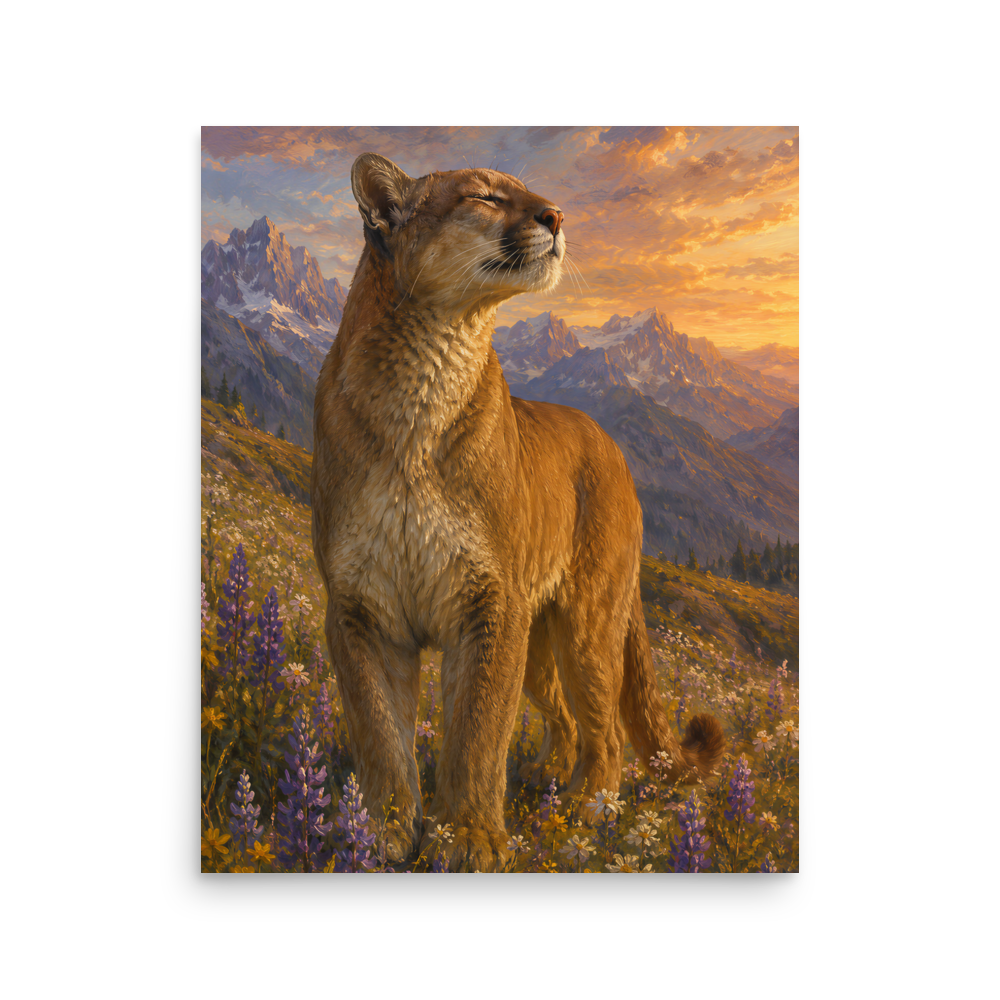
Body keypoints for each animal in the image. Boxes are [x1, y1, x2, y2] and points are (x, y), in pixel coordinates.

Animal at [311, 152, 726, 872]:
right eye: (482, 195)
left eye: (525, 190)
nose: (557, 215)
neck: (423, 381)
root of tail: (609, 442)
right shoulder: (361, 607)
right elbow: (379, 731)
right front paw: (381, 832)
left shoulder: (488, 603)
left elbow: (477, 731)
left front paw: (469, 837)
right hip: (537, 638)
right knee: (563, 719)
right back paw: (551, 786)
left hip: (586, 622)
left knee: (606, 733)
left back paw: (585, 816)